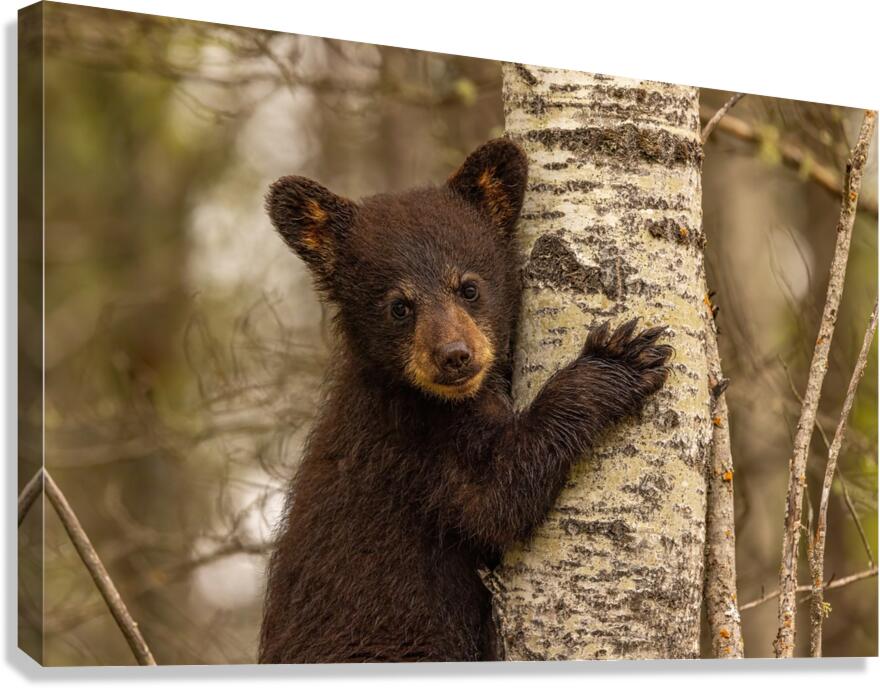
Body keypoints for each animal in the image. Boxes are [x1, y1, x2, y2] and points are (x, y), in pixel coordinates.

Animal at [258, 138, 672, 663]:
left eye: (469, 286)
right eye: (399, 306)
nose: (454, 356)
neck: (440, 398)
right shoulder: (411, 447)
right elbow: (497, 496)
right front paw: (618, 361)